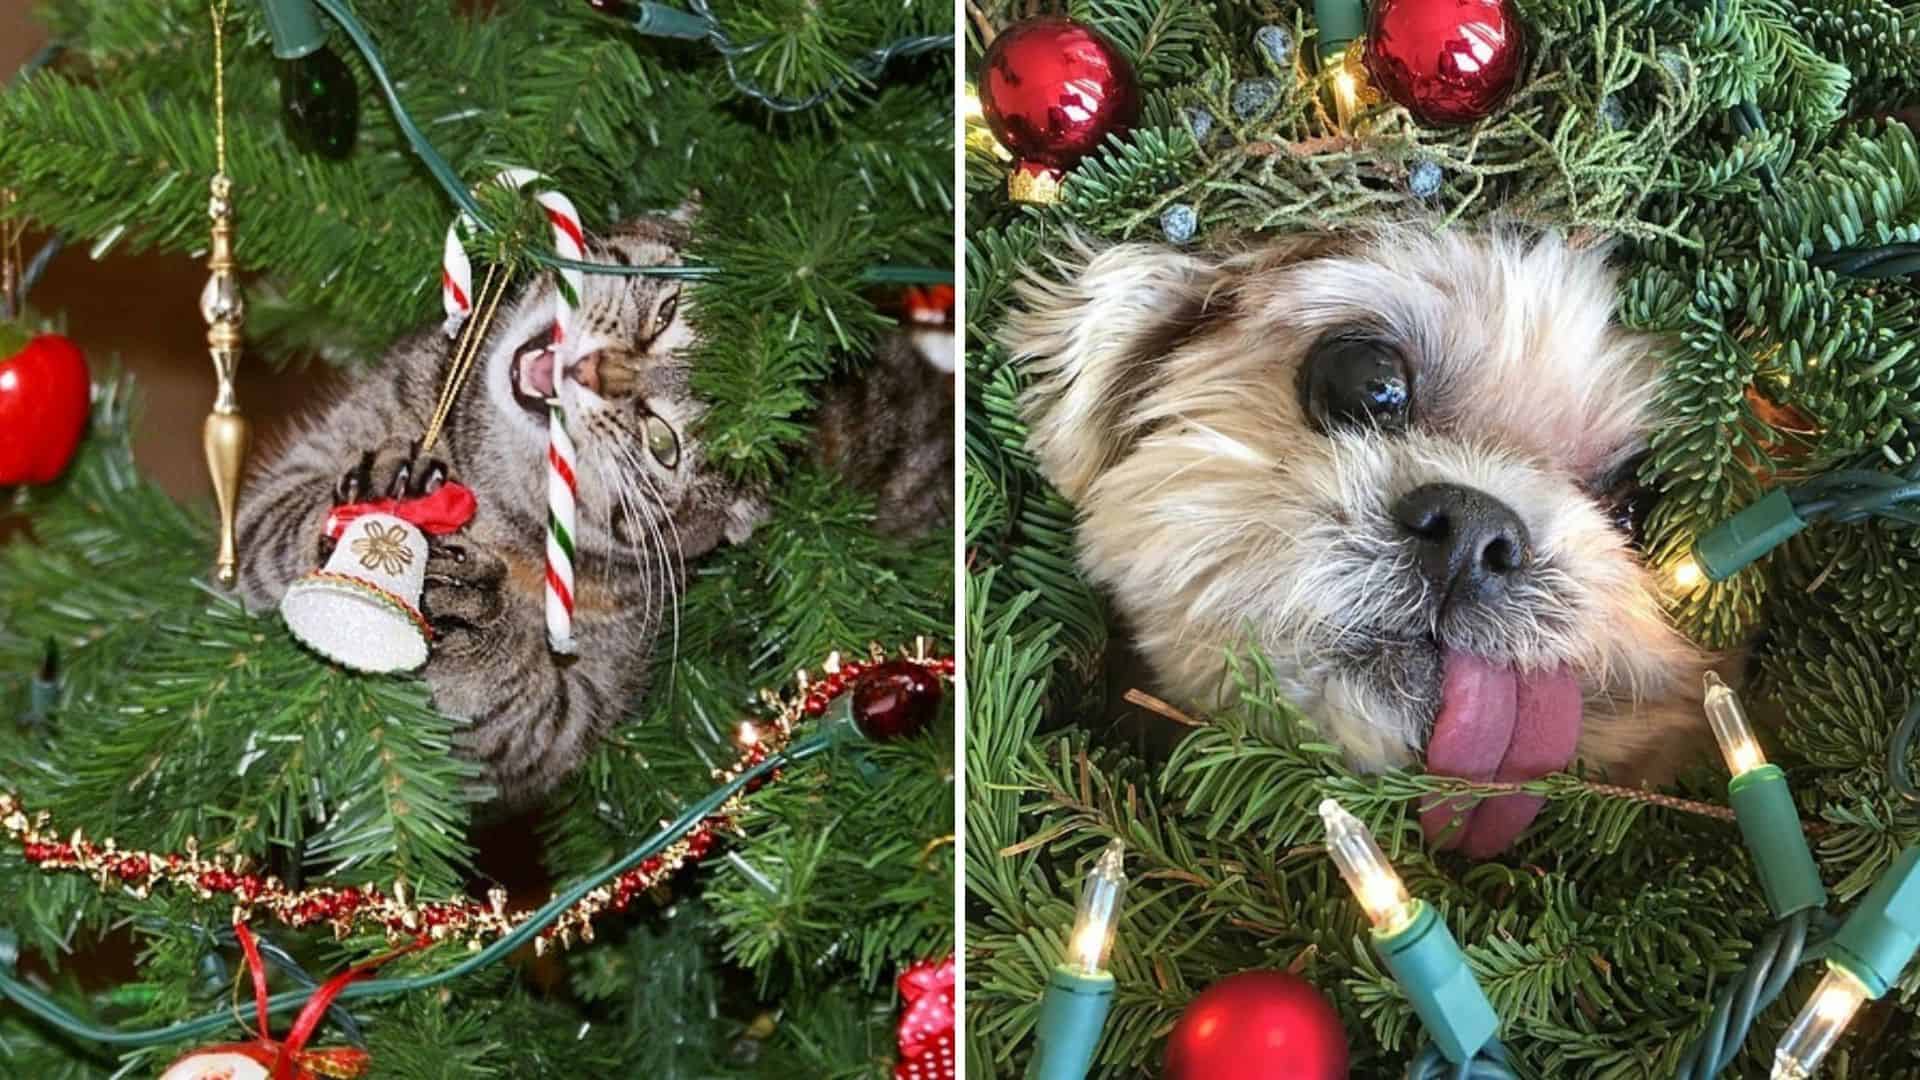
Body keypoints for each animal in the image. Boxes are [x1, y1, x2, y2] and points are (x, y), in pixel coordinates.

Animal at [234, 212, 952, 799]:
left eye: (662, 443)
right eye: (666, 313)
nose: (597, 372)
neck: (496, 492)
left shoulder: (563, 720)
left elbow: (511, 706)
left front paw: (472, 615)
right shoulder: (290, 483)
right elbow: (276, 526)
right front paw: (381, 486)